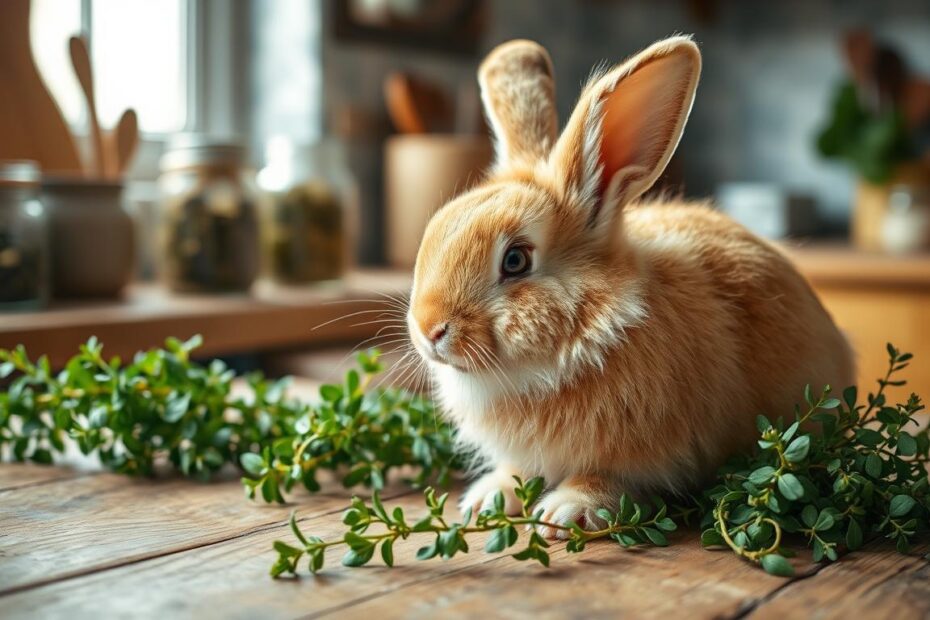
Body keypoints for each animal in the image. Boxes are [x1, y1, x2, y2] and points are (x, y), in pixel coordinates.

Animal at [406, 35, 855, 539]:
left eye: (516, 260)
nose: (428, 329)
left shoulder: (649, 456)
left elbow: (608, 480)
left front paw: (564, 512)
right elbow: (517, 470)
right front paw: (488, 499)